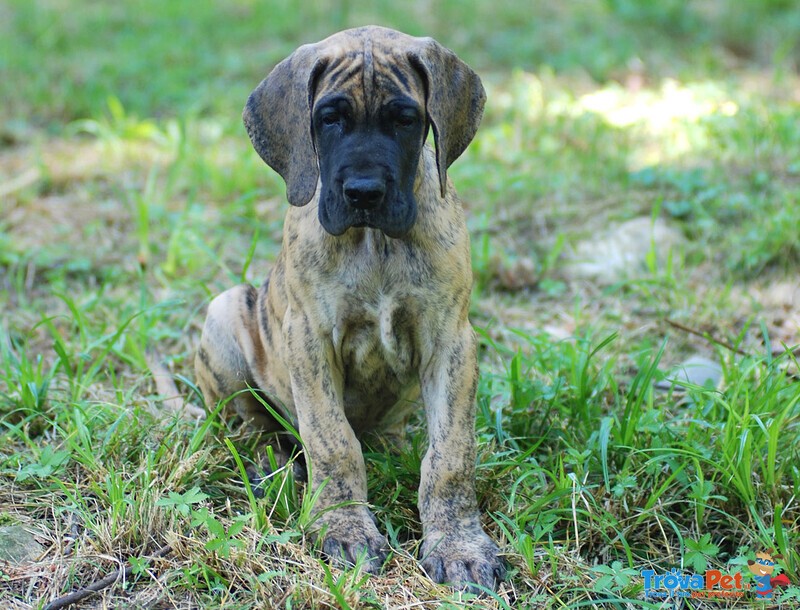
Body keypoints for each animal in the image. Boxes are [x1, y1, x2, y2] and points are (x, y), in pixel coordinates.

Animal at [196, 26, 504, 592]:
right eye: (329, 118)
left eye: (405, 119)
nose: (364, 192)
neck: (373, 242)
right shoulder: (308, 339)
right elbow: (332, 441)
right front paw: (343, 527)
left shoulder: (450, 342)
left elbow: (451, 453)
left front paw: (459, 543)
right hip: (225, 313)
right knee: (250, 426)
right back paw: (272, 461)